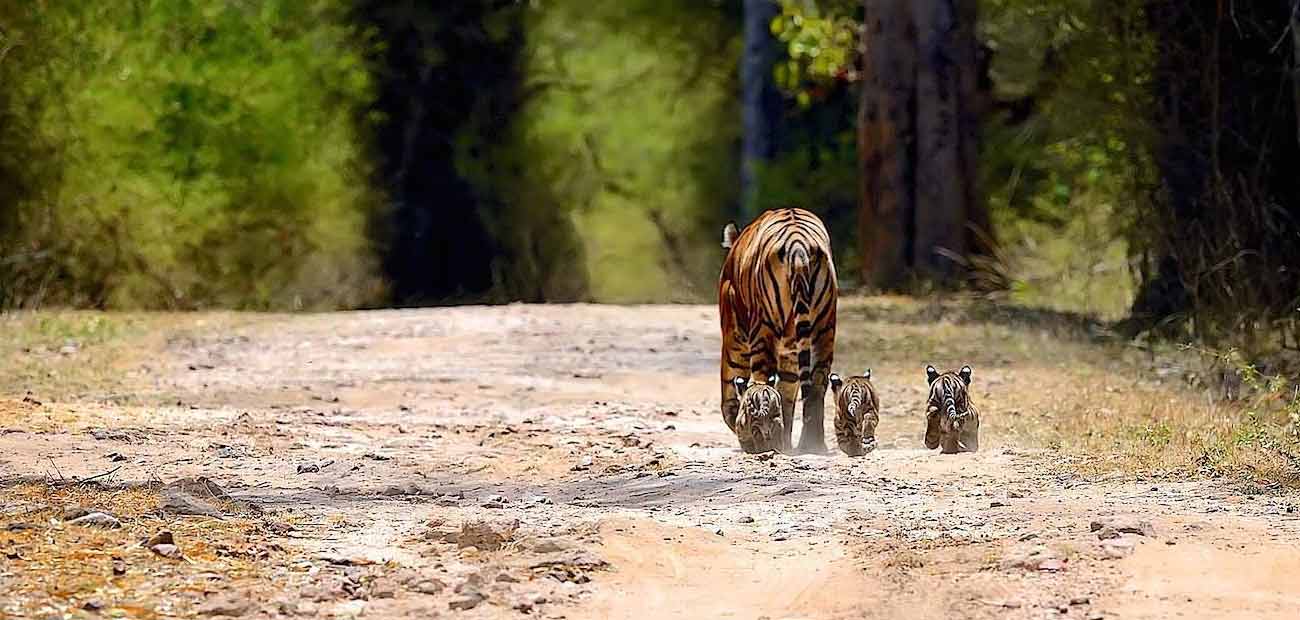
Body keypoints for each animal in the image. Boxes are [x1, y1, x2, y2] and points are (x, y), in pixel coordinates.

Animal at [717, 205, 837, 452]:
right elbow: (787, 393)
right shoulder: (790, 353)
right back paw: (811, 445)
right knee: (816, 386)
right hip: (824, 329)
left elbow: (730, 385)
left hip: (762, 330)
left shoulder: (733, 335)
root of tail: (798, 246)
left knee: (760, 383)